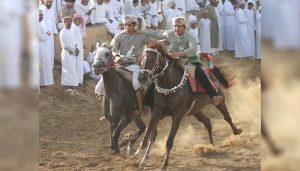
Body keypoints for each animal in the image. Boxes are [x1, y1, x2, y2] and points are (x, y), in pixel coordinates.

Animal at [135, 42, 243, 170]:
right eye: (142, 59)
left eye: (152, 59)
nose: (142, 77)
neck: (169, 86)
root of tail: (209, 71)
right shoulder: (157, 112)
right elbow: (149, 132)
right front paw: (141, 152)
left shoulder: (177, 116)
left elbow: (169, 141)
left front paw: (164, 165)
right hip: (196, 111)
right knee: (207, 122)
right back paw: (211, 146)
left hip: (219, 101)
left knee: (227, 117)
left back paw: (237, 131)